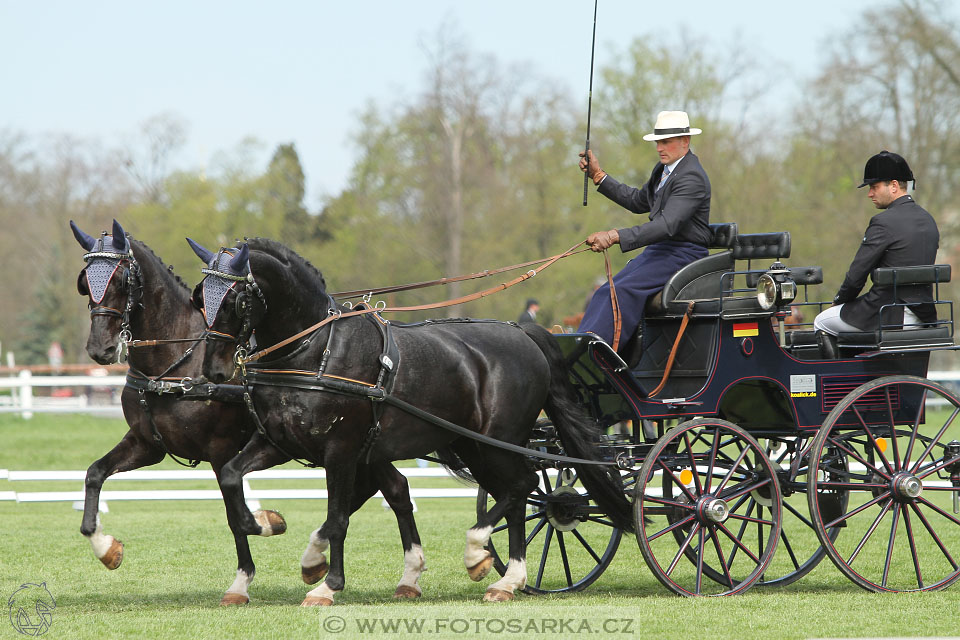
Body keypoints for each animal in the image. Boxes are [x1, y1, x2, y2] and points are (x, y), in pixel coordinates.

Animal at [69, 221, 426, 604]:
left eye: (122, 280)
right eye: (84, 281)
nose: (100, 348)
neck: (175, 363)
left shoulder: (220, 449)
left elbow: (234, 513)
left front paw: (250, 561)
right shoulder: (147, 445)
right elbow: (94, 474)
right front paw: (106, 548)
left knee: (382, 492)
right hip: (365, 447)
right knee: (393, 489)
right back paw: (395, 573)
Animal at [188, 239, 632, 604]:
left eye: (235, 300)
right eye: (200, 299)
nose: (213, 370)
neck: (313, 350)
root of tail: (523, 333)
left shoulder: (341, 451)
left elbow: (338, 517)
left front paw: (326, 586)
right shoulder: (279, 442)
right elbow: (232, 479)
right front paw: (266, 527)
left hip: (496, 440)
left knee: (521, 486)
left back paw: (483, 556)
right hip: (471, 445)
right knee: (514, 493)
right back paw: (505, 577)